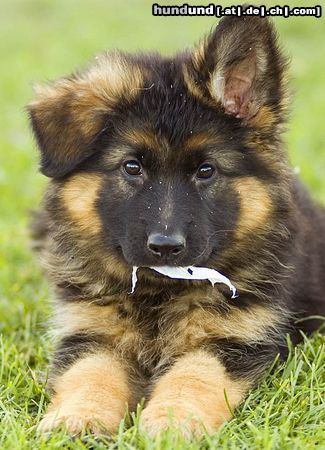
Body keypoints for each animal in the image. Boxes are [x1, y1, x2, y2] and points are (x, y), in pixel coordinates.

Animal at [29, 16, 322, 436]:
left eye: (206, 170)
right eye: (132, 167)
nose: (166, 246)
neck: (160, 292)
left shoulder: (234, 338)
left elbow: (194, 376)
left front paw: (173, 420)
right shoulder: (90, 330)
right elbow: (91, 374)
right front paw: (78, 419)